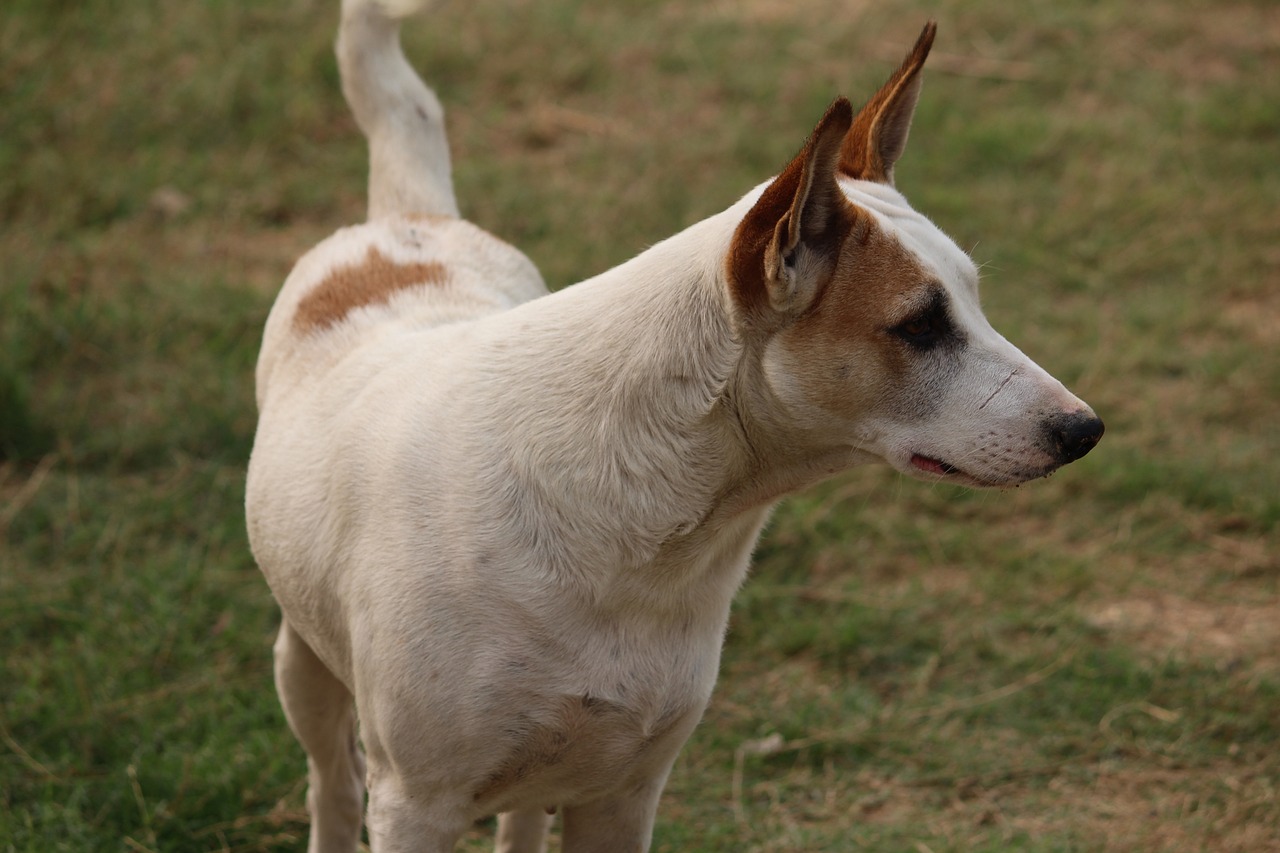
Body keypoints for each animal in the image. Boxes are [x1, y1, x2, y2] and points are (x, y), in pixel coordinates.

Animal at [247, 3, 1100, 845]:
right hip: (304, 667)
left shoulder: (626, 789)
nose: (1084, 430)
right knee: (333, 781)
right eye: (919, 326)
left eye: (974, 300)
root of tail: (410, 219)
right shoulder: (416, 803)